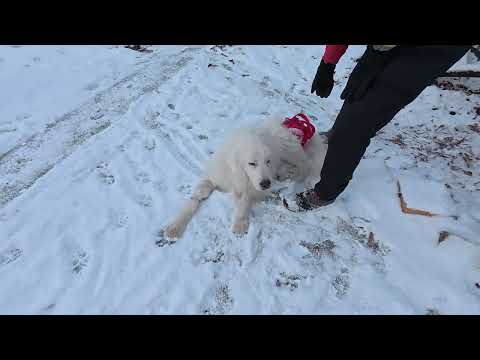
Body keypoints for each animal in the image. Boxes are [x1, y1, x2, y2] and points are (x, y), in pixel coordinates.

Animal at [163, 116, 328, 239]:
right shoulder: (215, 178)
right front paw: (175, 226)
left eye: (268, 161)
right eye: (252, 163)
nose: (266, 184)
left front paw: (240, 224)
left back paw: (285, 173)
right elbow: (195, 198)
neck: (240, 174)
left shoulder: (256, 187)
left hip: (293, 153)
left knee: (304, 167)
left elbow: (244, 200)